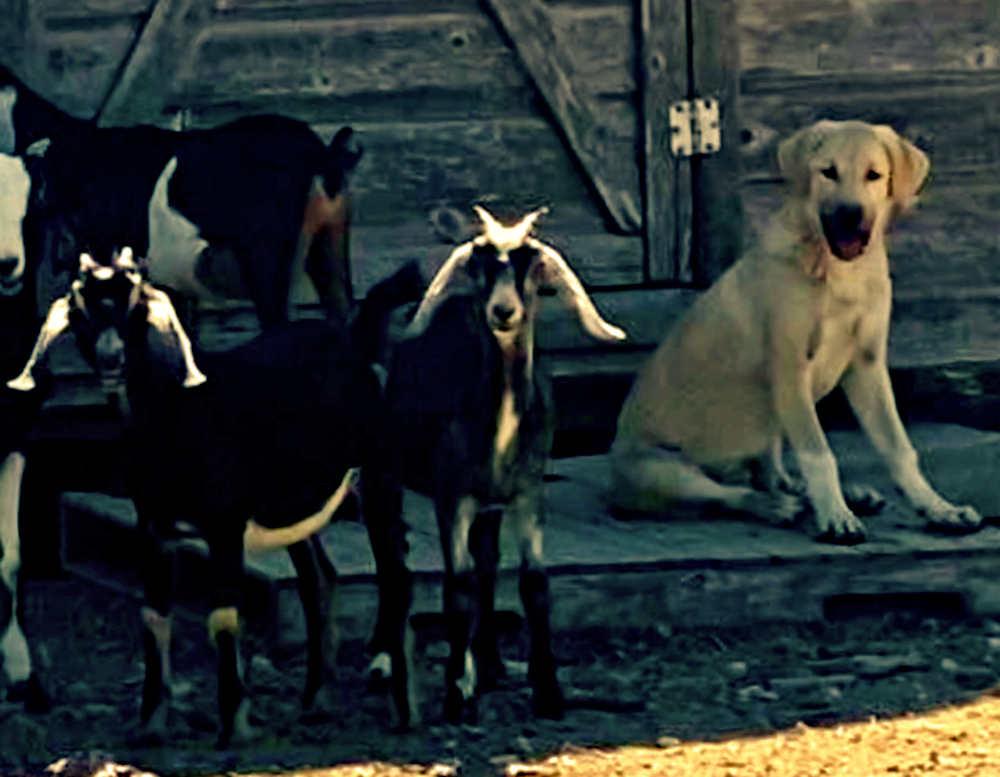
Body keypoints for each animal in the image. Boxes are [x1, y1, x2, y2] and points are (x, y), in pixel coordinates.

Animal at [360, 206, 624, 728]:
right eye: (480, 266)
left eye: (530, 266)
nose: (503, 312)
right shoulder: (451, 494)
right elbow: (456, 588)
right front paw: (456, 694)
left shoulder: (526, 491)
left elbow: (533, 583)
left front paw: (548, 692)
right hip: (378, 472)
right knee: (390, 558)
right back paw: (384, 660)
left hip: (486, 502)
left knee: (482, 561)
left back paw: (491, 664)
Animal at [612, 119, 980, 540]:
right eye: (828, 172)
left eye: (874, 175)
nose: (851, 215)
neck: (839, 275)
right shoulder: (790, 370)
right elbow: (819, 454)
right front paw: (835, 516)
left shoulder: (867, 366)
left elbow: (898, 447)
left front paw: (938, 508)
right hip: (661, 469)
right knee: (729, 495)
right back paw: (782, 507)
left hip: (769, 429)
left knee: (769, 475)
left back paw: (833, 495)